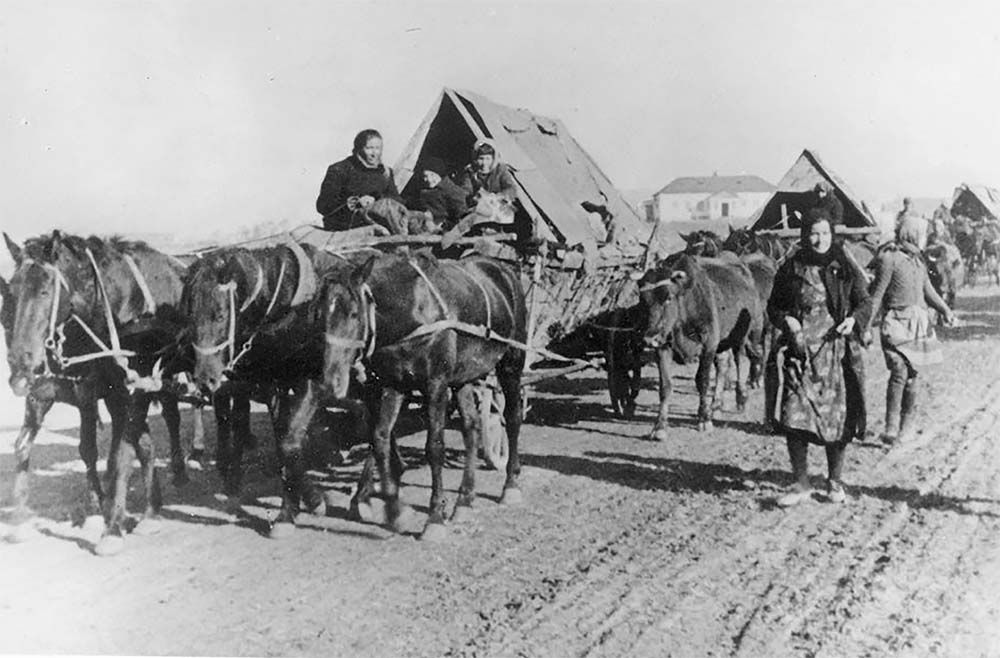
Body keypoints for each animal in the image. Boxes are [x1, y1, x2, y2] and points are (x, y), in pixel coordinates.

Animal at [2, 231, 188, 552]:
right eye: (11, 295)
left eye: (44, 292)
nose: (20, 368)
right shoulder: (62, 393)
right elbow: (32, 446)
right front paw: (21, 520)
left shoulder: (125, 394)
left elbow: (119, 456)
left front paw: (111, 527)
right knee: (146, 442)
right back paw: (151, 508)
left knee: (171, 419)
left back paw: (178, 473)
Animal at [288, 250, 528, 540]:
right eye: (318, 315)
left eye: (355, 314)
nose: (330, 378)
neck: (412, 310)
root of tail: (502, 267)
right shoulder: (394, 384)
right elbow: (380, 439)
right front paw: (395, 510)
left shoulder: (436, 385)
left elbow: (434, 447)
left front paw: (434, 517)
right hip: (463, 377)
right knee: (471, 427)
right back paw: (464, 500)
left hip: (511, 363)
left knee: (512, 418)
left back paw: (511, 485)